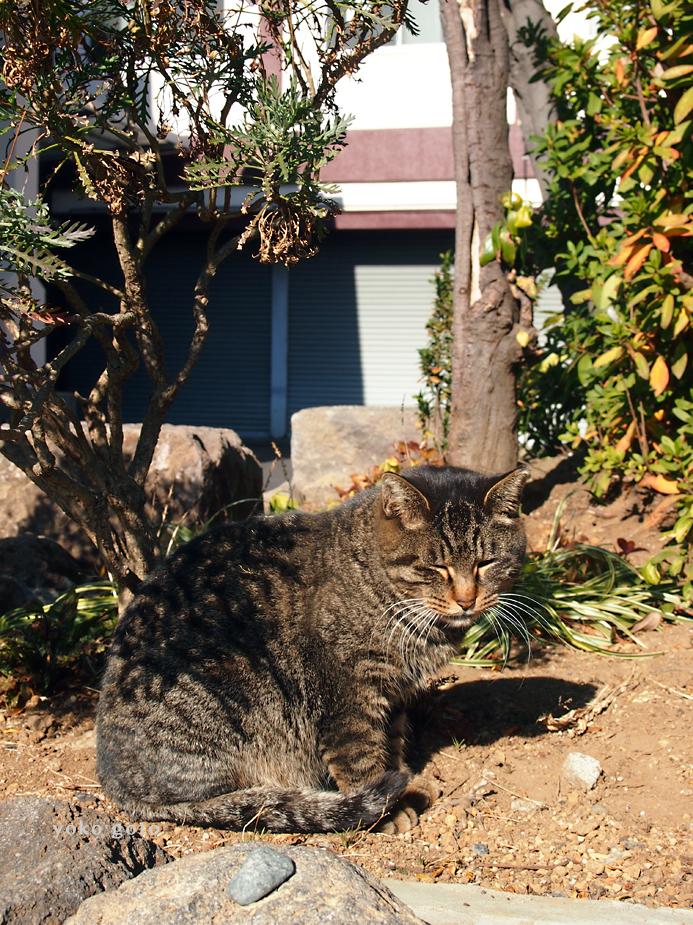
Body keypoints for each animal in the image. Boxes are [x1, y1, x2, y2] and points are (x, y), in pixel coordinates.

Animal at [97, 466, 528, 832]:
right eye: (436, 567)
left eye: (486, 563)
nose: (466, 601)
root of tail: (113, 782)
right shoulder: (347, 696)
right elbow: (362, 758)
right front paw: (388, 811)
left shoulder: (392, 692)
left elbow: (392, 745)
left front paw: (405, 781)